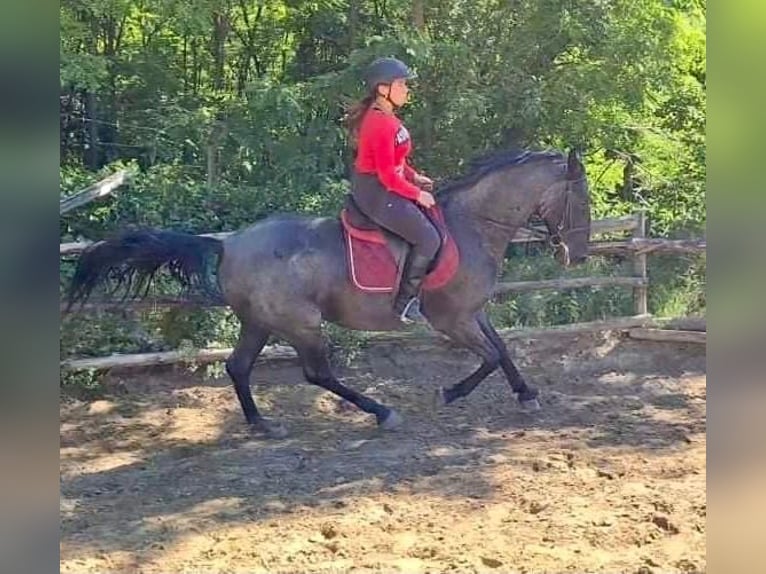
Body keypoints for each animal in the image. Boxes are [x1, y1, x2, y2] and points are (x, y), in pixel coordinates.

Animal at [66, 147, 592, 436]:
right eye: (580, 199)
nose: (579, 256)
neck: (471, 225)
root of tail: (229, 242)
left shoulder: (473, 312)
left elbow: (502, 349)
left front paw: (527, 394)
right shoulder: (453, 317)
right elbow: (489, 356)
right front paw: (451, 392)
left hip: (259, 321)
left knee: (238, 366)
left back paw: (262, 424)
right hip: (301, 323)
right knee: (316, 373)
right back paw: (381, 412)